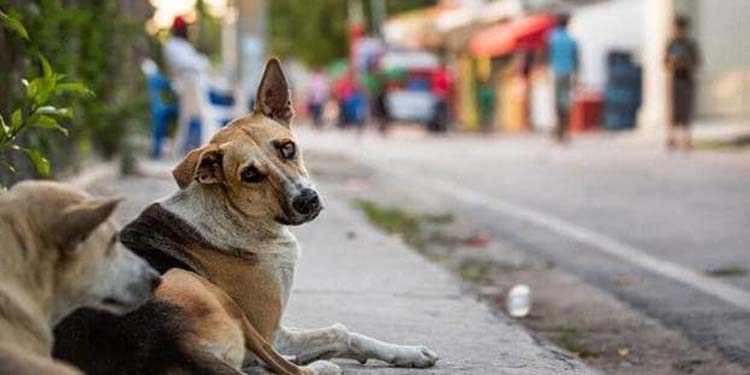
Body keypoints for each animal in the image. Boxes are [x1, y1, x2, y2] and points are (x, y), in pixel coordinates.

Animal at [54, 58, 440, 375]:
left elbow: (349, 336)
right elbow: (338, 333)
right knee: (285, 367)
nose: (308, 200)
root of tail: (171, 338)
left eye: (288, 148)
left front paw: (408, 354)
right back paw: (318, 368)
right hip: (204, 291)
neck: (239, 217)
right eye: (250, 175)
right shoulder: (271, 329)